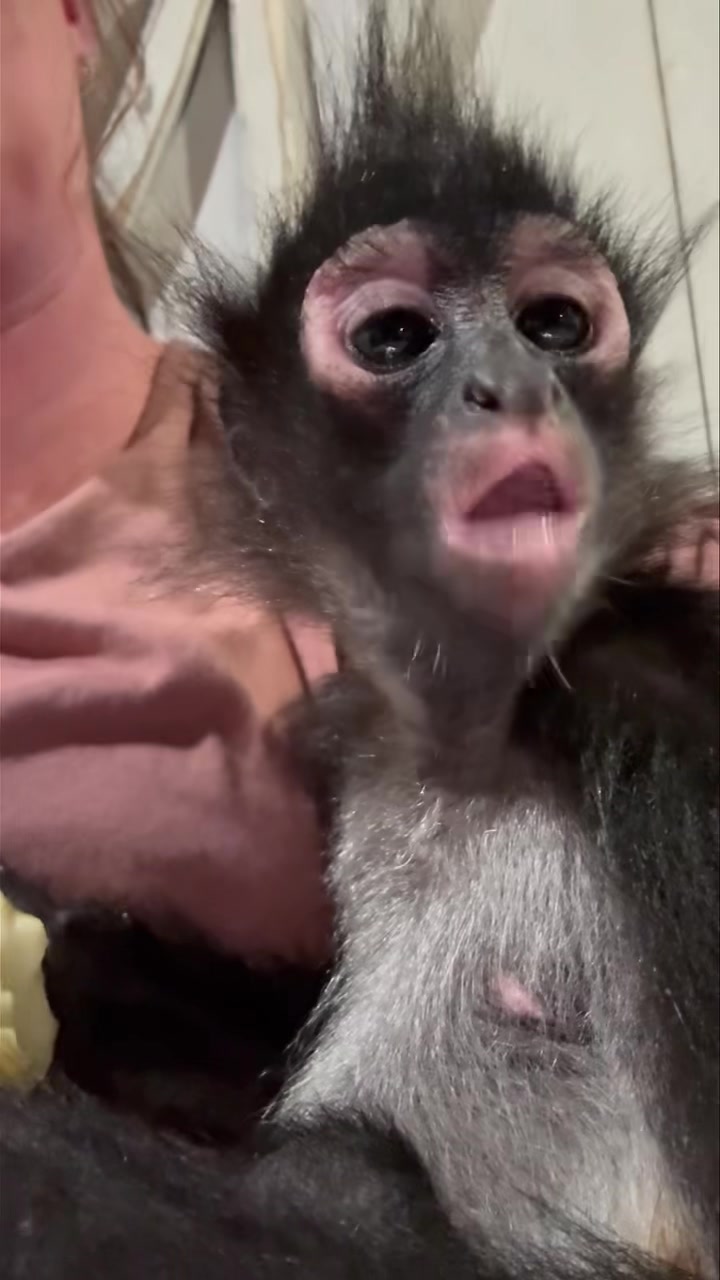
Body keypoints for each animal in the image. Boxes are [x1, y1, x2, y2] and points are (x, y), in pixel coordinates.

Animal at [1, 8, 717, 1278]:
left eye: (554, 324)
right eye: (393, 338)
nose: (512, 383)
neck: (478, 739)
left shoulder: (659, 700)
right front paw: (77, 958)